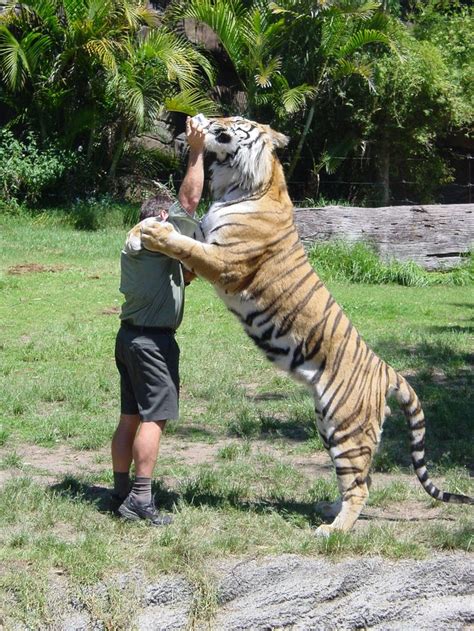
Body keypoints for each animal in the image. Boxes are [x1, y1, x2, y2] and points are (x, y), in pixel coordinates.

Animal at [124, 116, 472, 536]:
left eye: (233, 122)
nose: (204, 119)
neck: (242, 183)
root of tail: (388, 370)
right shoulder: (207, 246)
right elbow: (181, 240)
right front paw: (142, 233)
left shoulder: (225, 261)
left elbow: (183, 245)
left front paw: (154, 232)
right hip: (328, 423)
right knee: (359, 478)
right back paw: (328, 510)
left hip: (347, 426)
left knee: (360, 484)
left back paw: (333, 531)